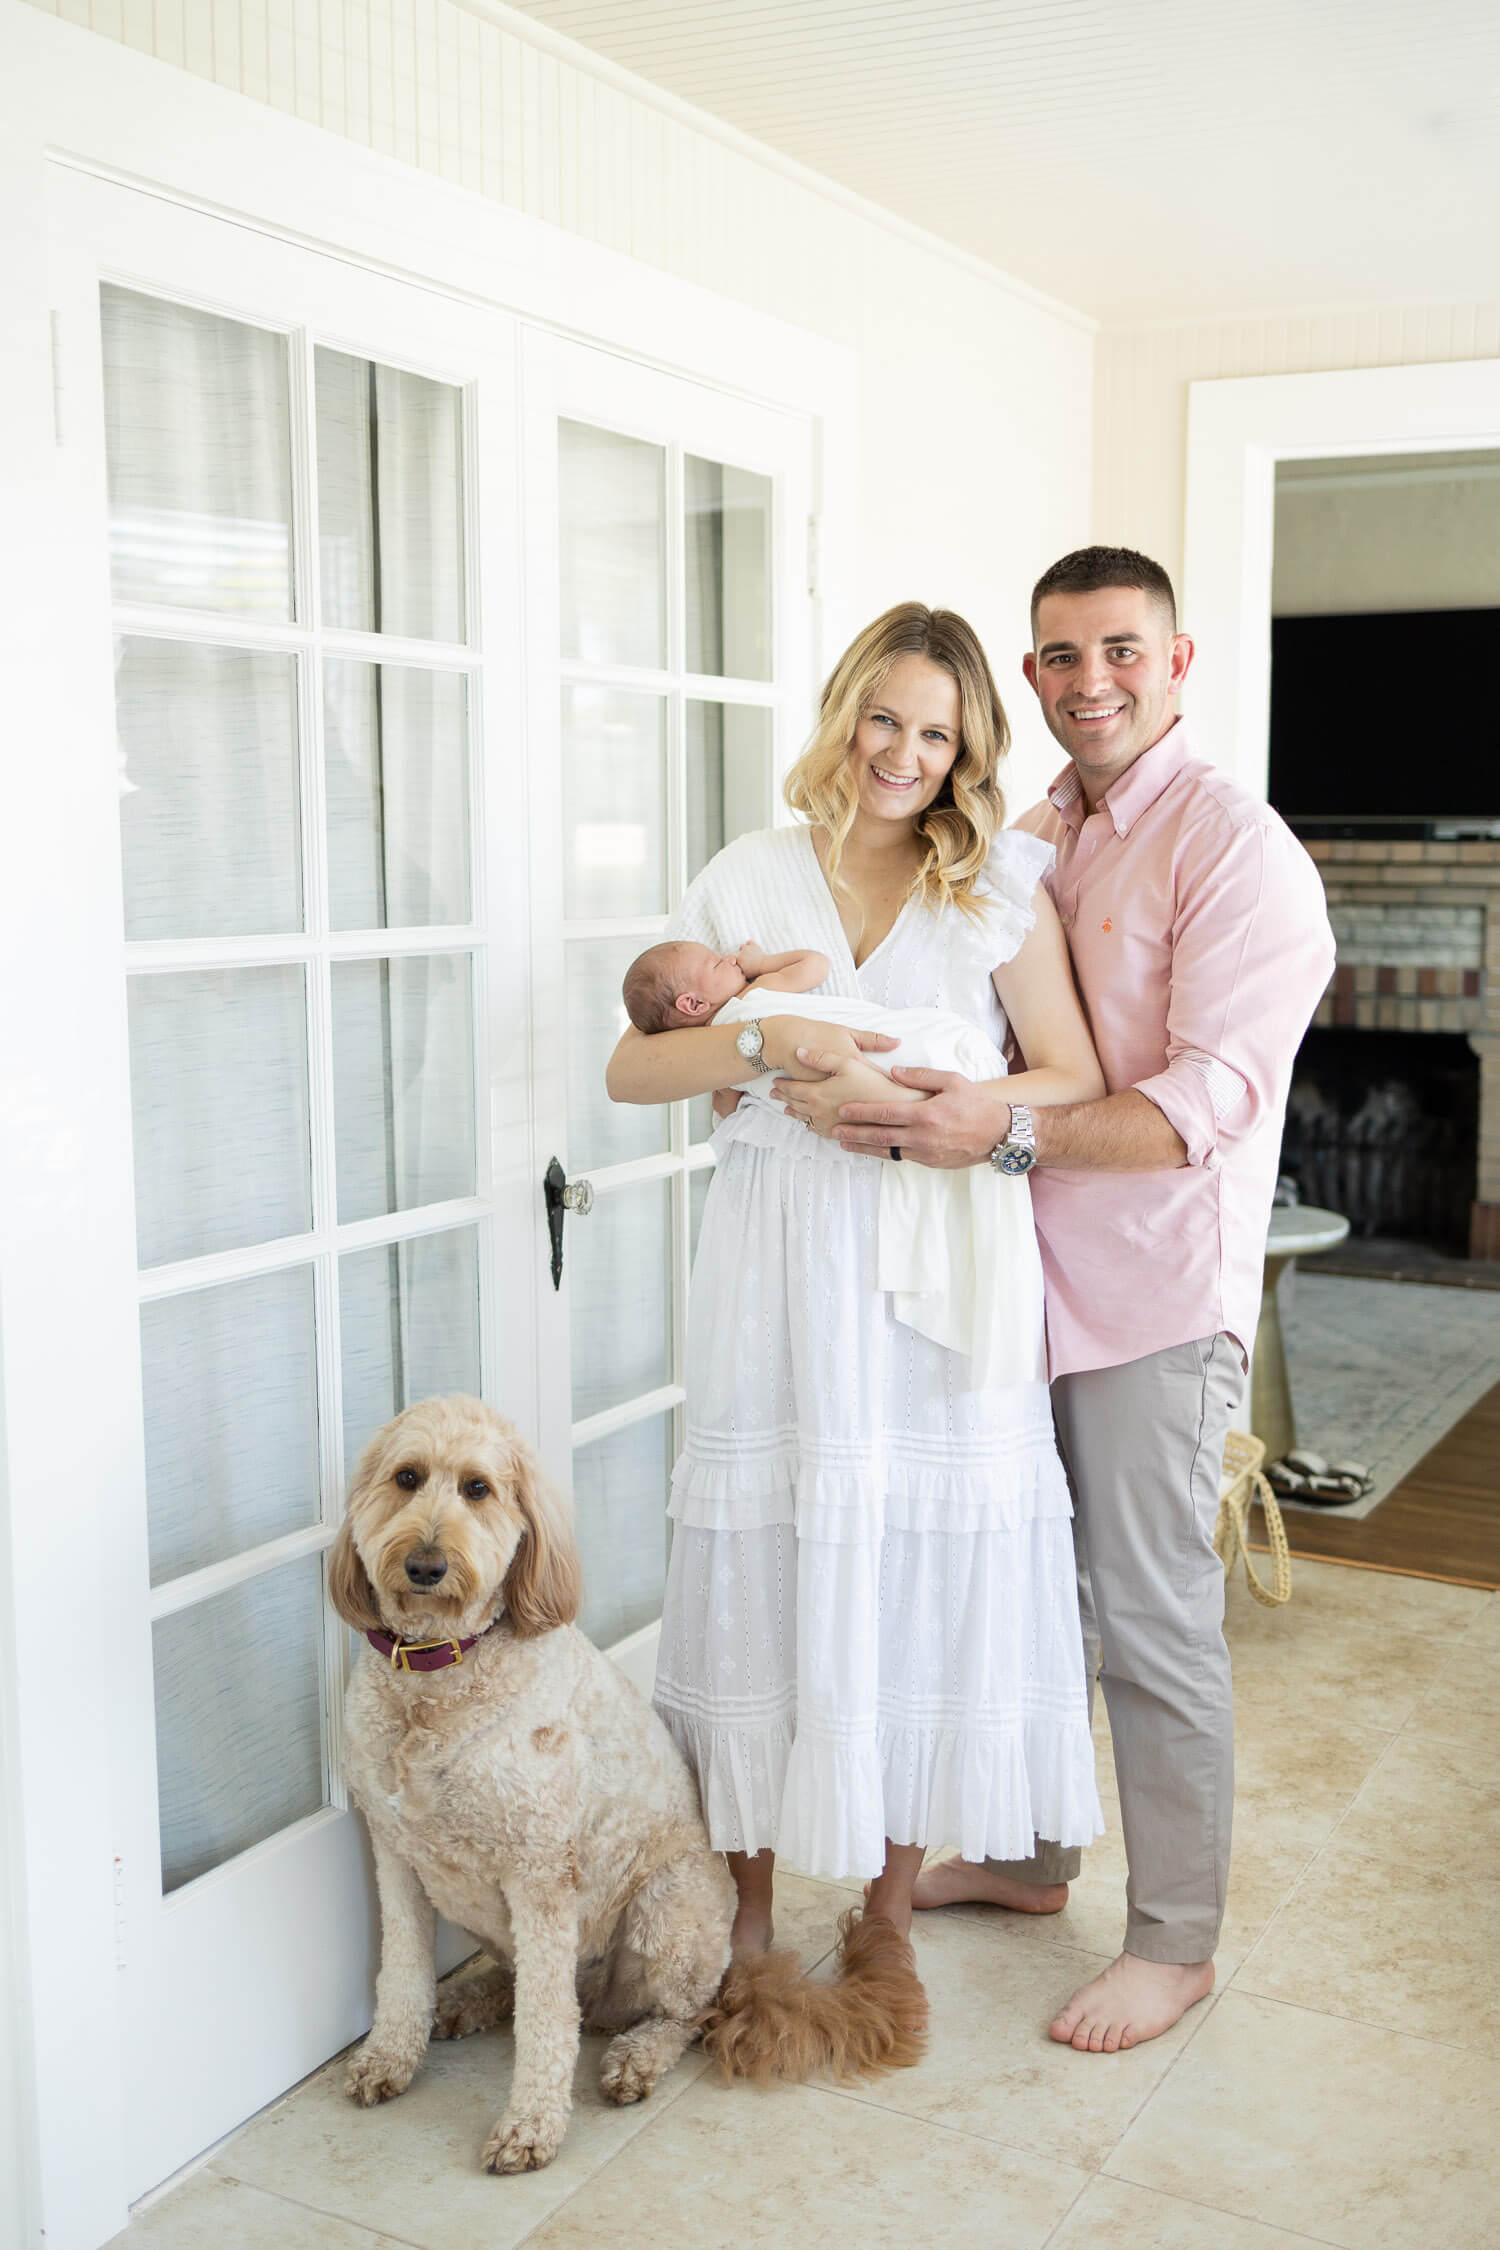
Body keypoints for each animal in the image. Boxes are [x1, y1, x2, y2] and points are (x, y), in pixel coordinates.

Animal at [328, 1395, 926, 2169]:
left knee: (676, 2015)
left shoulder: (541, 1876)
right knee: (534, 1984)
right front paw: (388, 2057)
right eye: (406, 1477)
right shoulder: (397, 1858)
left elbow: (546, 2024)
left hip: (666, 1915)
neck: (442, 1670)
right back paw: (468, 1999)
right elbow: (401, 1976)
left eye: (477, 1489)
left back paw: (635, 2058)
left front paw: (530, 2125)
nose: (426, 1563)